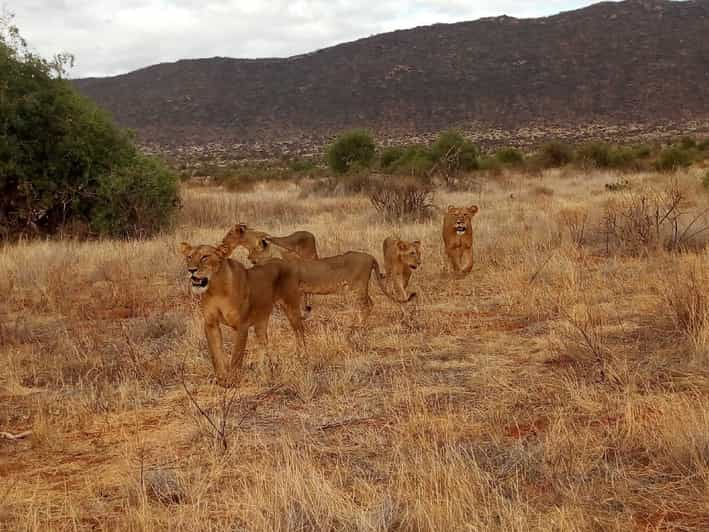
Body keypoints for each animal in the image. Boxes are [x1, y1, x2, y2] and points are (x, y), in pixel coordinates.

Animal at [178, 233, 302, 386]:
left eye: (205, 257)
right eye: (189, 257)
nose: (191, 270)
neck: (216, 289)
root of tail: (282, 260)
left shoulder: (241, 325)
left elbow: (236, 356)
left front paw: (233, 381)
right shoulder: (210, 324)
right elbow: (215, 354)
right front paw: (221, 379)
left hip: (291, 307)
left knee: (300, 332)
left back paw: (303, 357)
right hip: (261, 319)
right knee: (263, 342)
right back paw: (261, 371)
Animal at [224, 227, 412, 330]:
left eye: (254, 249)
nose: (249, 258)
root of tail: (371, 257)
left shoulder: (295, 290)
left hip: (357, 286)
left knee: (367, 304)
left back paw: (357, 326)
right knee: (369, 303)